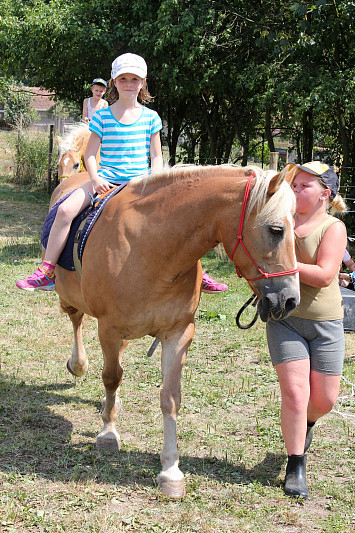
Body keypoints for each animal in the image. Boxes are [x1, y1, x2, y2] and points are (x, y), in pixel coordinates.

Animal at [50, 164, 300, 496]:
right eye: (276, 230)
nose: (291, 299)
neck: (150, 248)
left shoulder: (179, 333)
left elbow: (170, 398)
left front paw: (170, 469)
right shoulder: (109, 327)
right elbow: (111, 377)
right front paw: (108, 433)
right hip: (72, 299)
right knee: (77, 321)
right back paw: (77, 364)